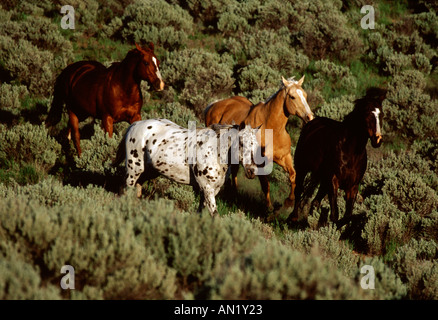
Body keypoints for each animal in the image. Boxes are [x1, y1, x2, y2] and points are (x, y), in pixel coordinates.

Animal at [113, 119, 262, 216]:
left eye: (256, 145)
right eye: (241, 143)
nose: (252, 171)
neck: (215, 152)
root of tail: (135, 125)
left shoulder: (212, 189)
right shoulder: (207, 188)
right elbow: (215, 214)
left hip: (148, 172)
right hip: (133, 169)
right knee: (125, 189)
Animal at [204, 75, 314, 210]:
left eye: (305, 95)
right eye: (292, 97)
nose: (310, 117)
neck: (272, 129)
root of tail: (213, 105)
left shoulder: (284, 157)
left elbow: (294, 176)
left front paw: (289, 202)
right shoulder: (259, 162)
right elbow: (266, 185)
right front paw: (269, 208)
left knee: (234, 171)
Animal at [290, 86, 386, 224]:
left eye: (382, 115)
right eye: (367, 114)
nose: (377, 140)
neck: (351, 152)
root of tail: (312, 122)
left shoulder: (352, 186)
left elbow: (347, 217)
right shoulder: (333, 180)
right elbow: (335, 214)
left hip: (322, 180)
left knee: (315, 201)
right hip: (302, 168)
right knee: (298, 191)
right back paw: (294, 217)